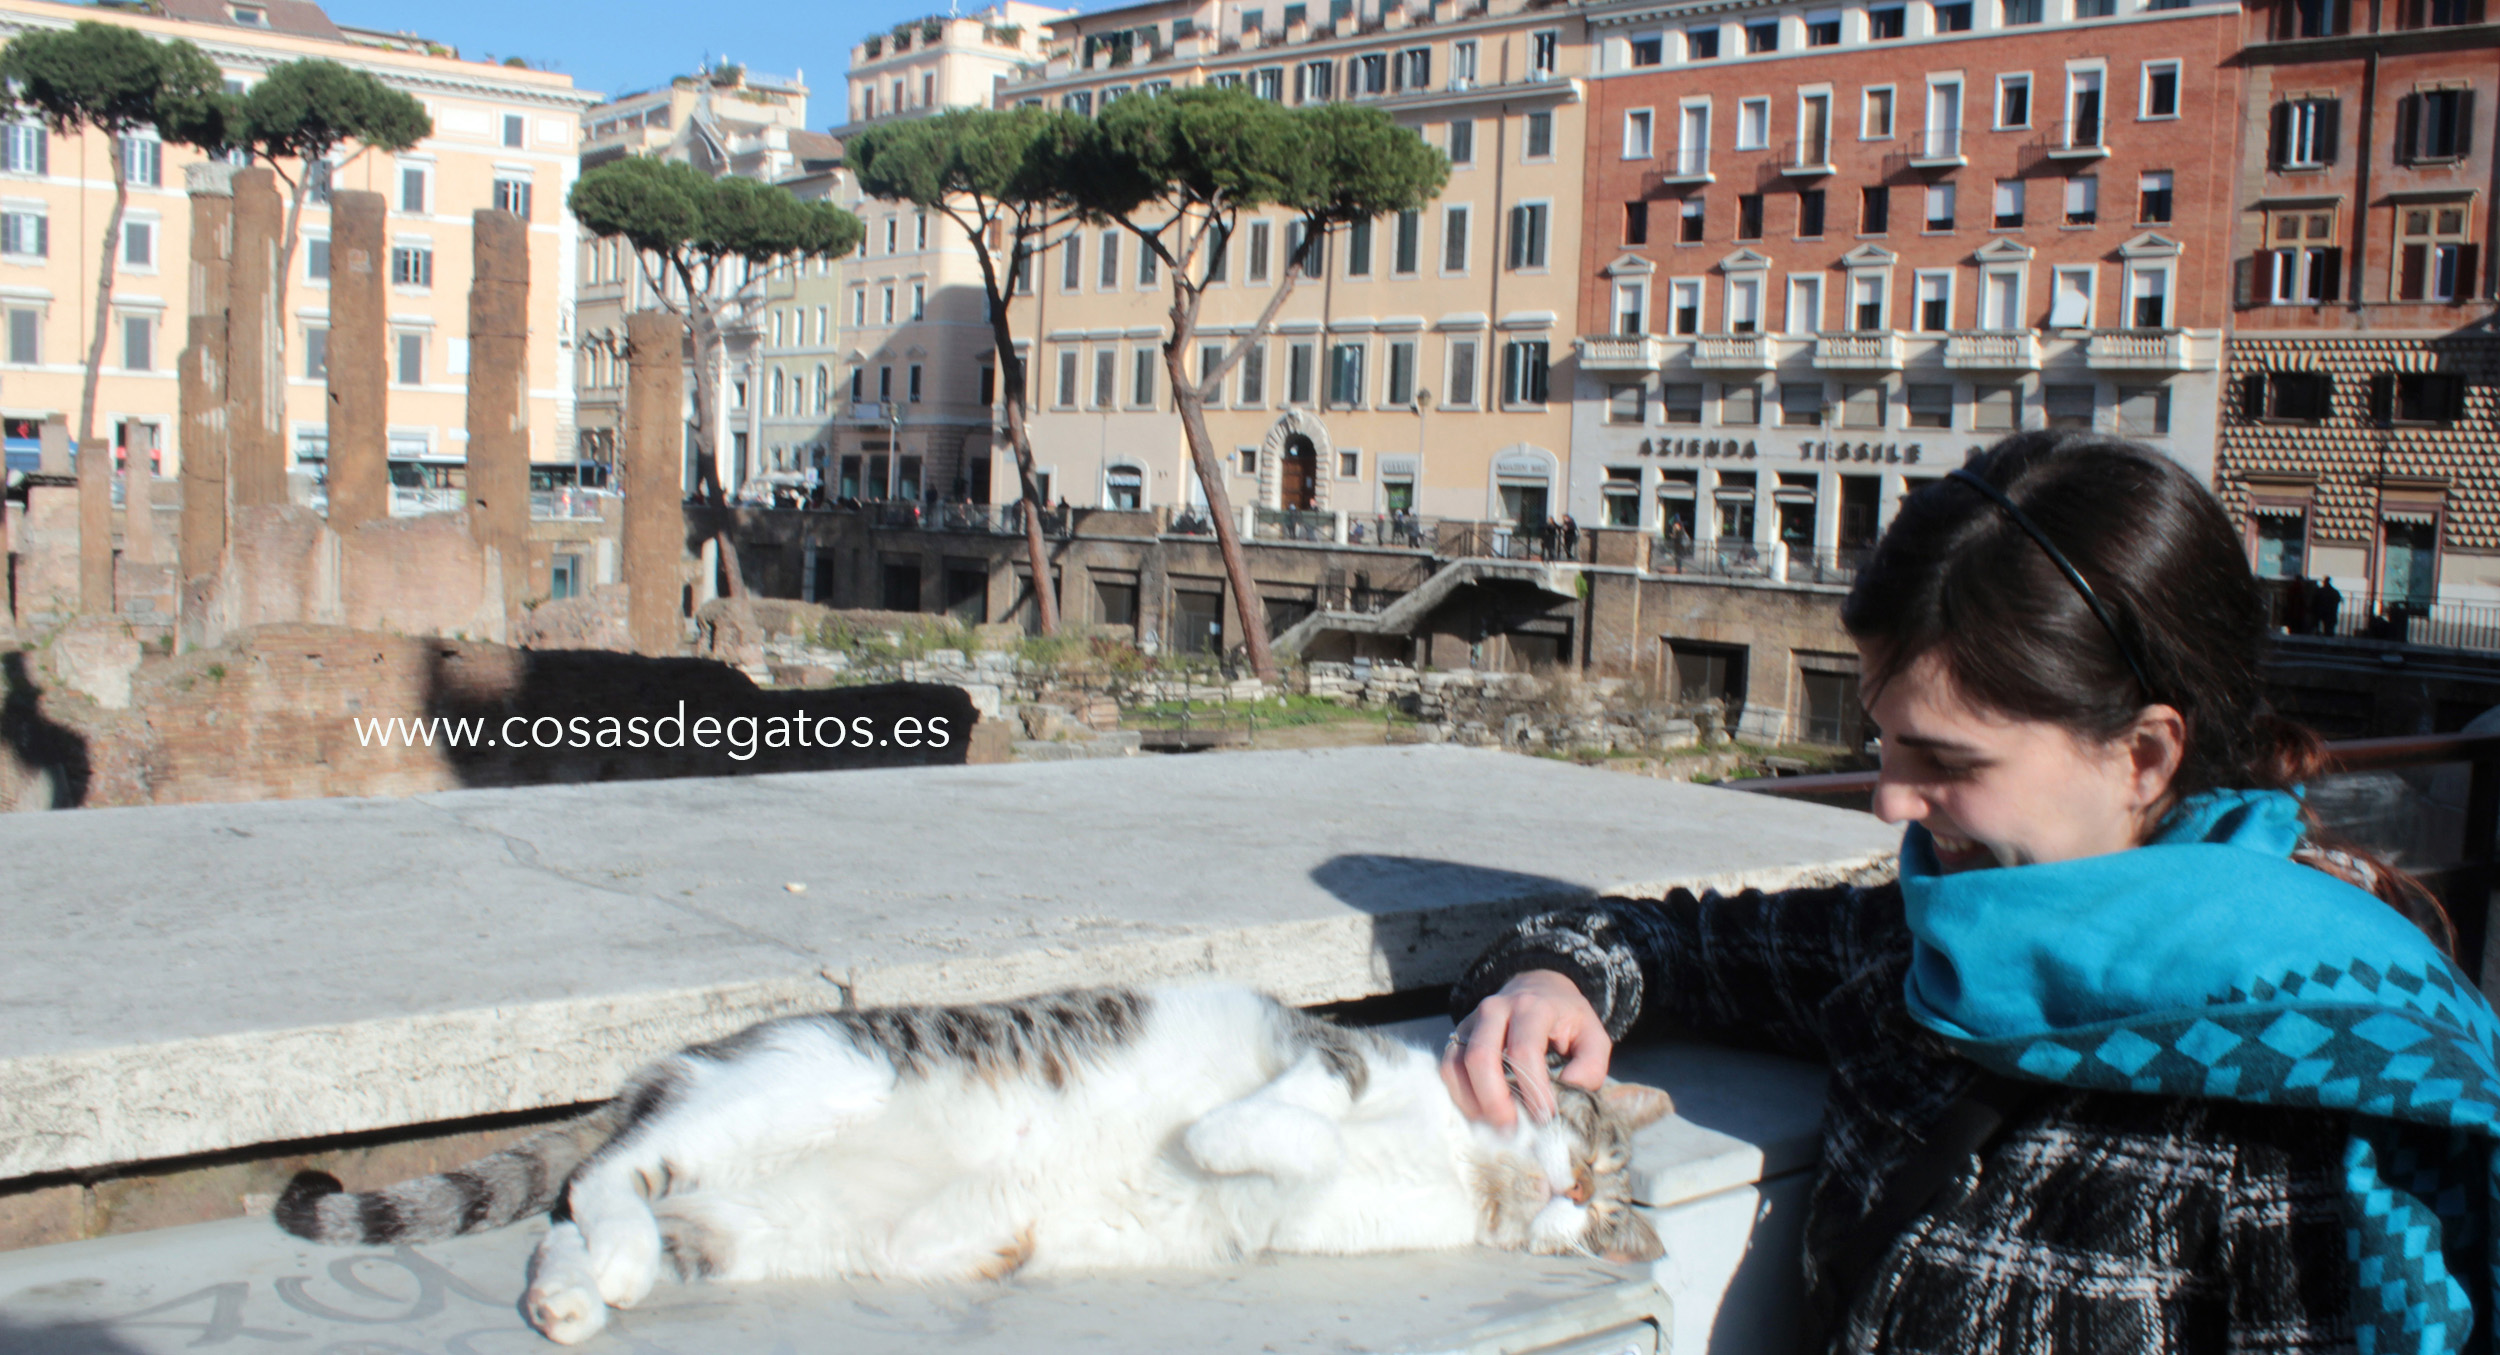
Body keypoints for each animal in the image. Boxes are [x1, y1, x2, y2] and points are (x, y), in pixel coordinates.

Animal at [273, 990, 1670, 1350]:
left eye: (1605, 1222)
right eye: (1597, 1158)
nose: (1570, 1200)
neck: (1459, 1160)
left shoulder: (1313, 1215)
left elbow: (1293, 1162)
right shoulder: (1326, 1061)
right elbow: (1299, 1111)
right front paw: (1220, 1133)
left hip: (747, 1226)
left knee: (585, 1217)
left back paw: (578, 1293)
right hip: (797, 1085)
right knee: (603, 1169)